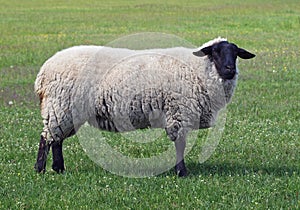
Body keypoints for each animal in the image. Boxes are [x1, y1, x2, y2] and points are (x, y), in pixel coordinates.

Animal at [34, 37, 255, 176]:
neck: (199, 69)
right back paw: (40, 169)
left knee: (57, 139)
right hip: (59, 106)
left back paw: (58, 169)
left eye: (236, 53)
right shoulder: (178, 112)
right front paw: (182, 172)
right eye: (215, 52)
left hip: (65, 111)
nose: (230, 69)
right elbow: (180, 144)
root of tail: (44, 70)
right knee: (47, 138)